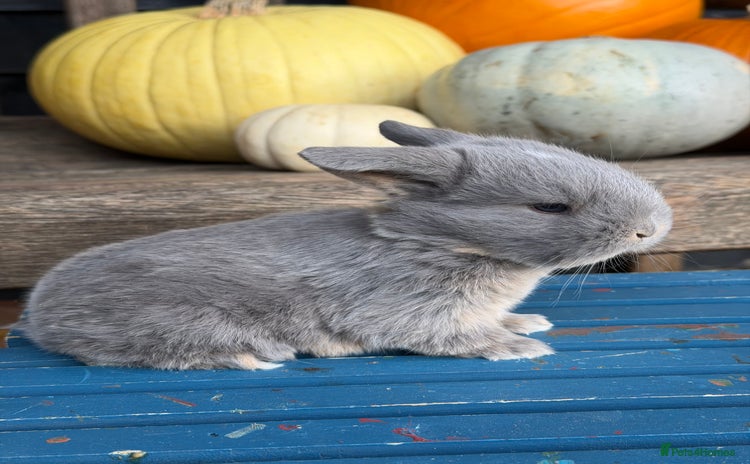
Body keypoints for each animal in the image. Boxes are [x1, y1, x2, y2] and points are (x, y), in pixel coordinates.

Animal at [17, 121, 672, 370]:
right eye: (549, 208)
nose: (653, 227)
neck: (440, 243)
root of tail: (39, 313)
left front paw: (525, 322)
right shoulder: (411, 313)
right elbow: (453, 338)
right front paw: (516, 347)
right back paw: (251, 357)